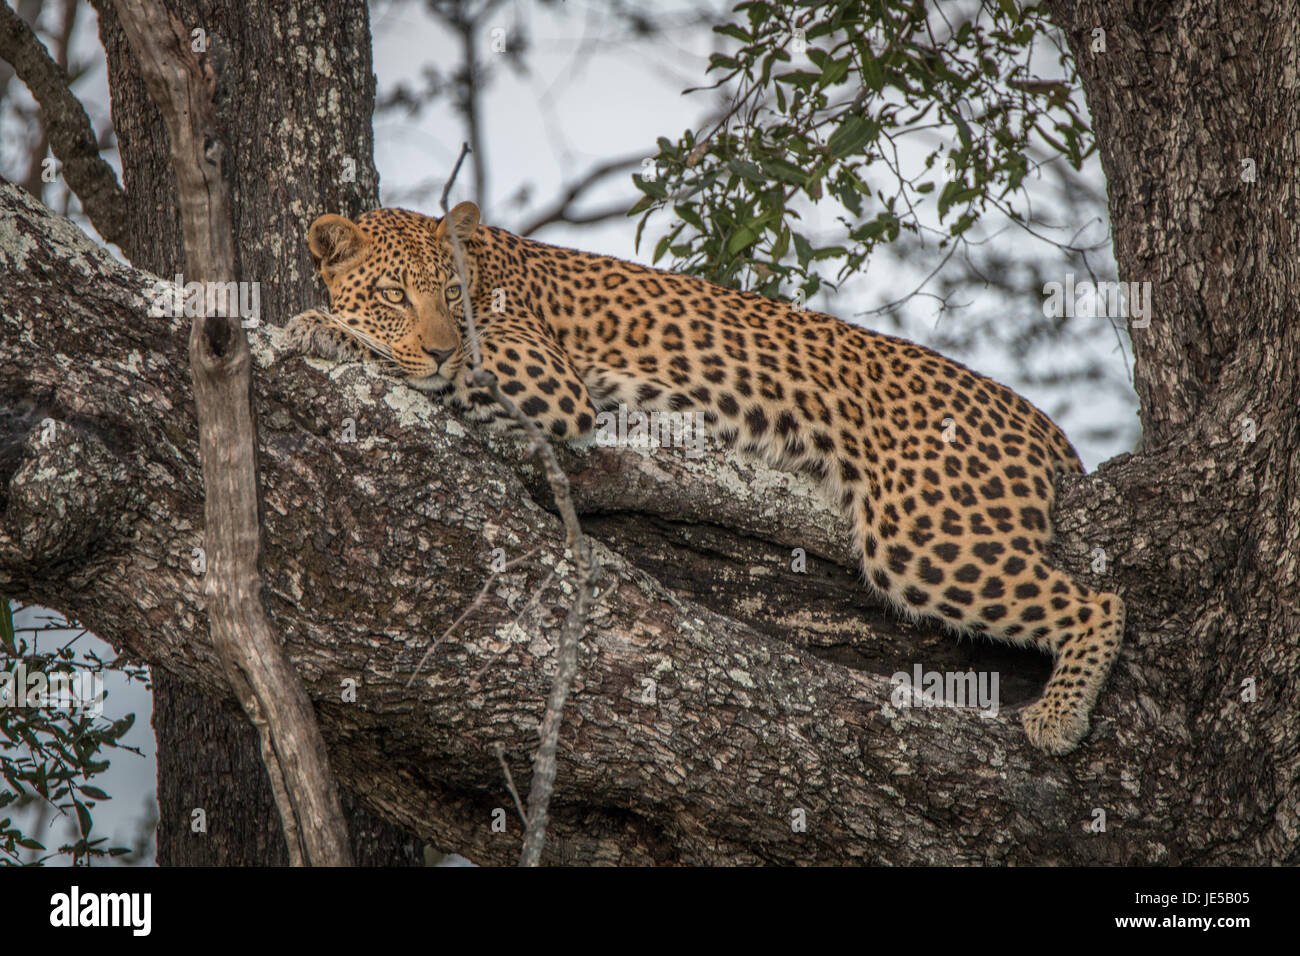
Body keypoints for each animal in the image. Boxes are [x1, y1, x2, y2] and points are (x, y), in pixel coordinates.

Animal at [285, 201, 1125, 756]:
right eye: (393, 294)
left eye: (452, 295)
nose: (436, 345)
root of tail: (1041, 425)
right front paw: (332, 326)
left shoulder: (545, 380)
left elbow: (430, 368)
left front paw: (319, 328)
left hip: (924, 534)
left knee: (1100, 600)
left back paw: (1059, 717)